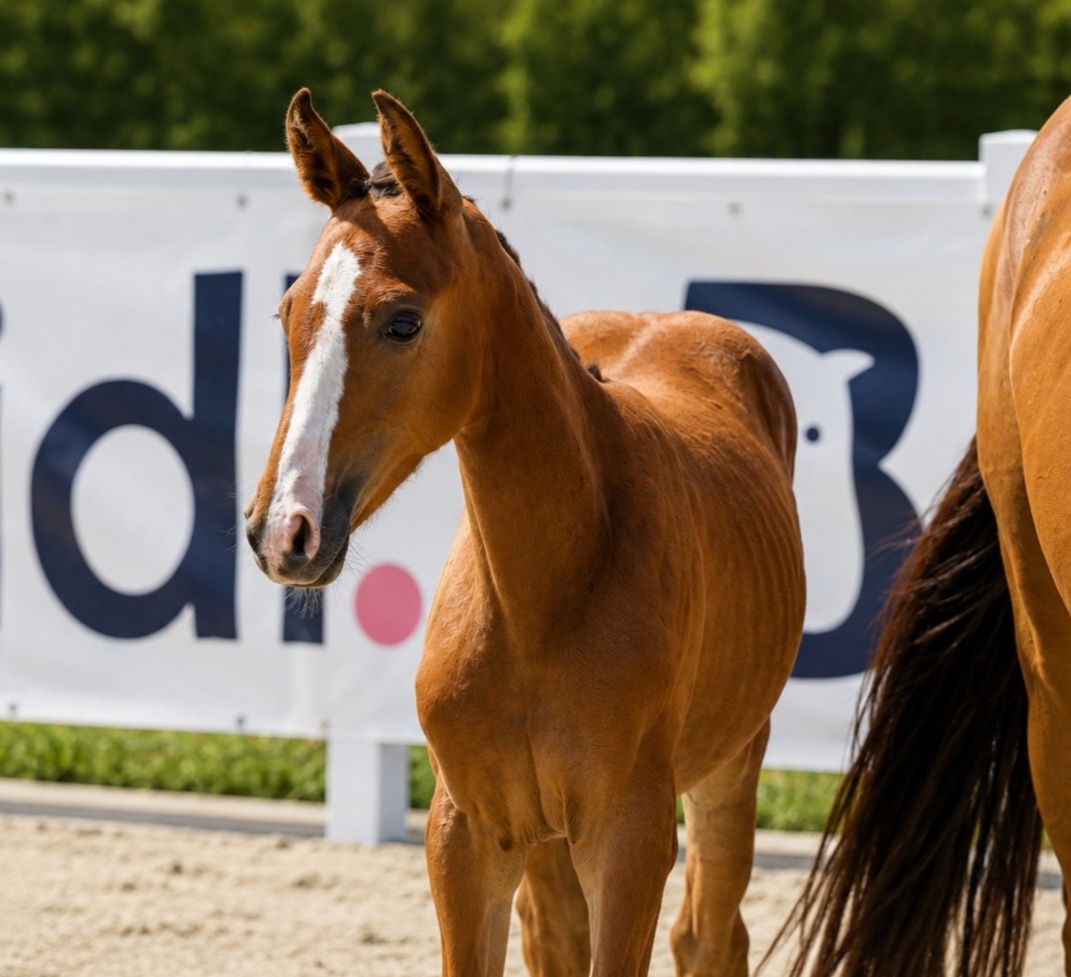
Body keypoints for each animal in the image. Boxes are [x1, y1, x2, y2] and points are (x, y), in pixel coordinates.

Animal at [244, 88, 805, 977]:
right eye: (288, 312)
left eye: (401, 321)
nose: (282, 530)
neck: (541, 597)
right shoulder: (469, 833)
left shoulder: (629, 840)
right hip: (546, 840)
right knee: (558, 934)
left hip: (731, 761)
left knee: (710, 935)